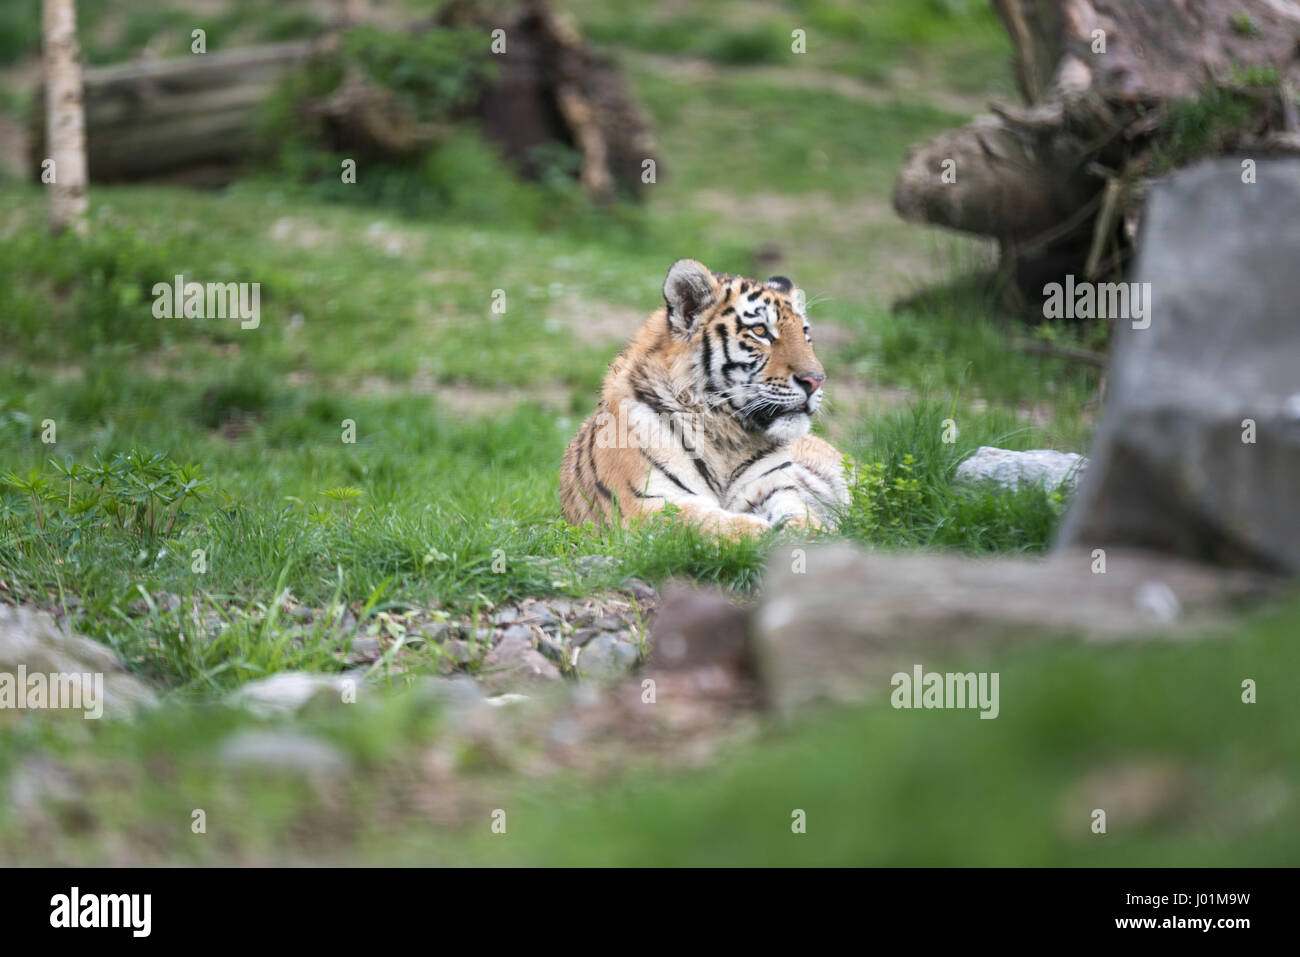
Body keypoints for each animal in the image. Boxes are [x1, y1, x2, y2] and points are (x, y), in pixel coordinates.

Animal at [560, 258, 849, 537]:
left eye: (805, 334)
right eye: (759, 331)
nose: (816, 380)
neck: (728, 441)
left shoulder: (778, 491)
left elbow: (802, 518)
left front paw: (817, 532)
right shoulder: (646, 505)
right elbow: (709, 522)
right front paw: (764, 532)